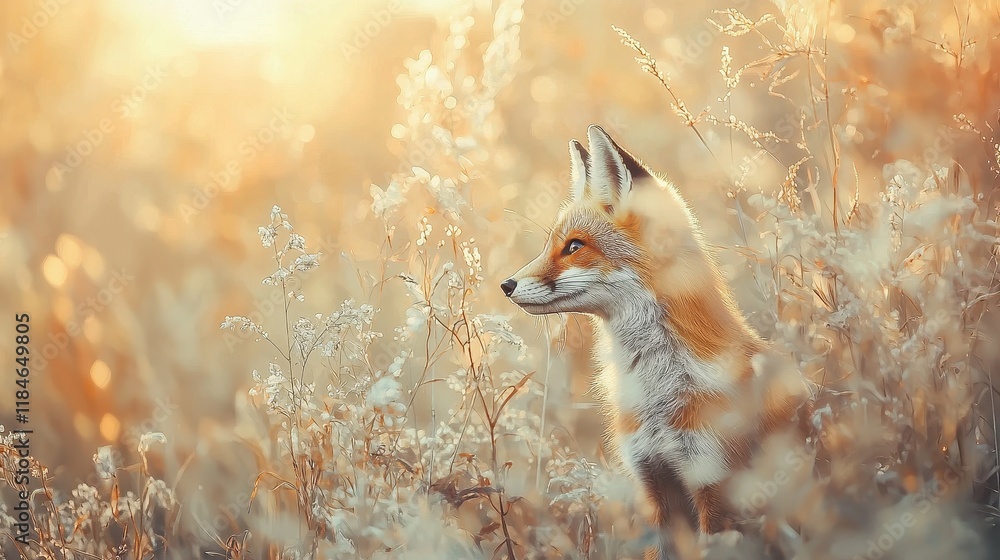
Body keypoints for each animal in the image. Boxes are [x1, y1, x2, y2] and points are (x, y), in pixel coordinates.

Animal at [501, 125, 813, 557]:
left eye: (575, 247)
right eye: (551, 245)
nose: (506, 285)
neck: (657, 391)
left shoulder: (715, 487)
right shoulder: (657, 487)